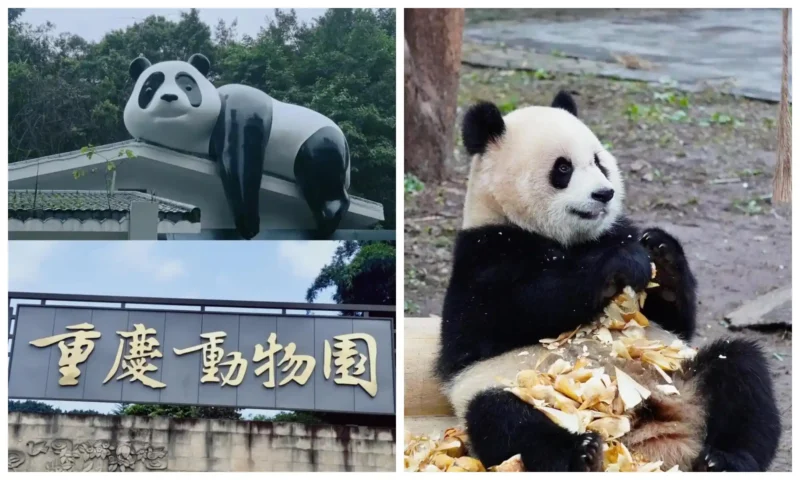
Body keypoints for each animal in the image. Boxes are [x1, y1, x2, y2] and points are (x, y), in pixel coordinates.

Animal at [123, 53, 350, 239]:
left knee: (320, 171)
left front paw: (248, 225)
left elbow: (241, 160)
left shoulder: (242, 107)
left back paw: (328, 217)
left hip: (321, 141)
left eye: (188, 87)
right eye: (149, 90)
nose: (169, 97)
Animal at [435, 91, 781, 472]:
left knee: (740, 369)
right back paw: (582, 451)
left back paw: (726, 458)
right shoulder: (483, 254)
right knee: (501, 417)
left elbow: (675, 320)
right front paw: (622, 264)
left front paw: (660, 249)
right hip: (520, 388)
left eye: (599, 162)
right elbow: (509, 313)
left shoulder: (617, 230)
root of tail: (649, 438)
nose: (605, 193)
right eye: (563, 168)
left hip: (681, 373)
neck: (567, 239)